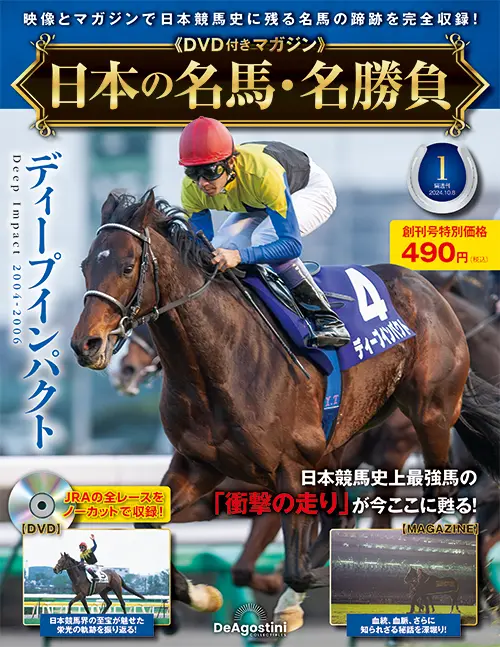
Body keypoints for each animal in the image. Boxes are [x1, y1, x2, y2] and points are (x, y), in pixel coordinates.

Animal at [71, 190, 500, 631]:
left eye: (127, 267)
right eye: (86, 266)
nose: (87, 344)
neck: (218, 364)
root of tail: (426, 288)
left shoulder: (288, 468)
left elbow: (293, 566)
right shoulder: (199, 466)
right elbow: (150, 524)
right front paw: (203, 595)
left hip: (429, 414)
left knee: (437, 493)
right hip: (334, 450)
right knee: (345, 518)